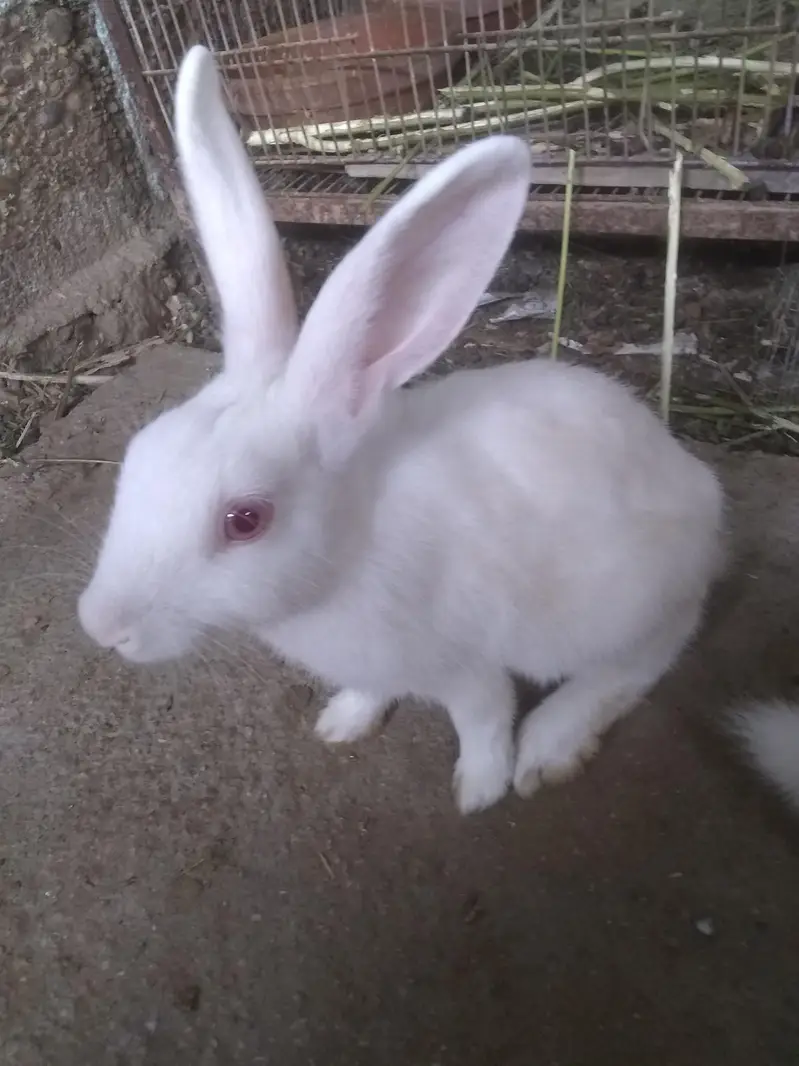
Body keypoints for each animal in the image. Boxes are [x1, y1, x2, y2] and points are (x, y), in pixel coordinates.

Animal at [78, 44, 725, 815]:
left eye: (245, 520)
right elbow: (371, 690)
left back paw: (550, 745)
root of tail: (698, 488)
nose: (102, 627)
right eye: (135, 458)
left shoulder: (460, 663)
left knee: (650, 653)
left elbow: (482, 715)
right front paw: (342, 722)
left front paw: (479, 790)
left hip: (610, 613)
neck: (349, 547)